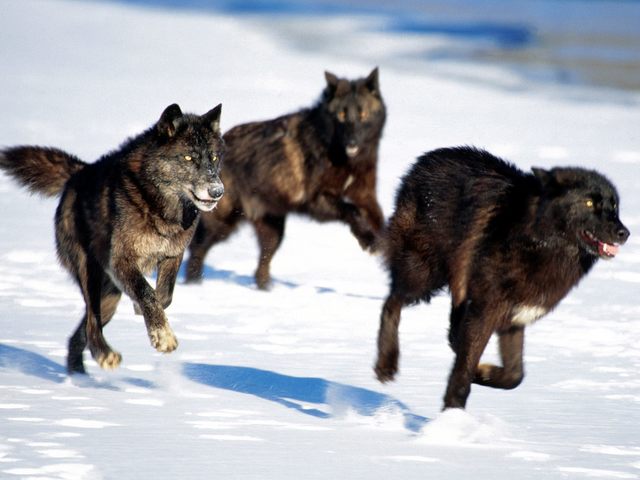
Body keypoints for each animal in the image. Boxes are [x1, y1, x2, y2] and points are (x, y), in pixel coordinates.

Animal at [0, 103, 224, 374]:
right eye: (189, 158)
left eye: (214, 158)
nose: (217, 191)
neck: (159, 206)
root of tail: (79, 172)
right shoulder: (120, 261)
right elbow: (147, 293)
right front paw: (163, 337)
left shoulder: (172, 255)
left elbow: (163, 296)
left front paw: (147, 316)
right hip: (91, 274)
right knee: (91, 323)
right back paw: (104, 356)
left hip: (110, 296)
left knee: (79, 334)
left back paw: (78, 376)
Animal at [185, 68, 386, 289]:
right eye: (341, 115)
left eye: (363, 114)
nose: (352, 142)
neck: (343, 157)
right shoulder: (316, 201)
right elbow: (351, 210)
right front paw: (368, 241)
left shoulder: (366, 195)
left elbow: (378, 219)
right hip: (222, 223)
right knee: (197, 248)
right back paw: (193, 284)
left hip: (273, 230)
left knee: (261, 266)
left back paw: (265, 291)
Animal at [374, 146, 630, 409]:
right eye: (589, 203)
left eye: (615, 206)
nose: (625, 233)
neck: (537, 241)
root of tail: (423, 161)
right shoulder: (485, 312)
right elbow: (464, 373)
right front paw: (453, 413)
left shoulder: (514, 319)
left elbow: (514, 376)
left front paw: (483, 372)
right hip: (424, 276)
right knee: (391, 303)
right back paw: (386, 365)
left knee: (449, 329)